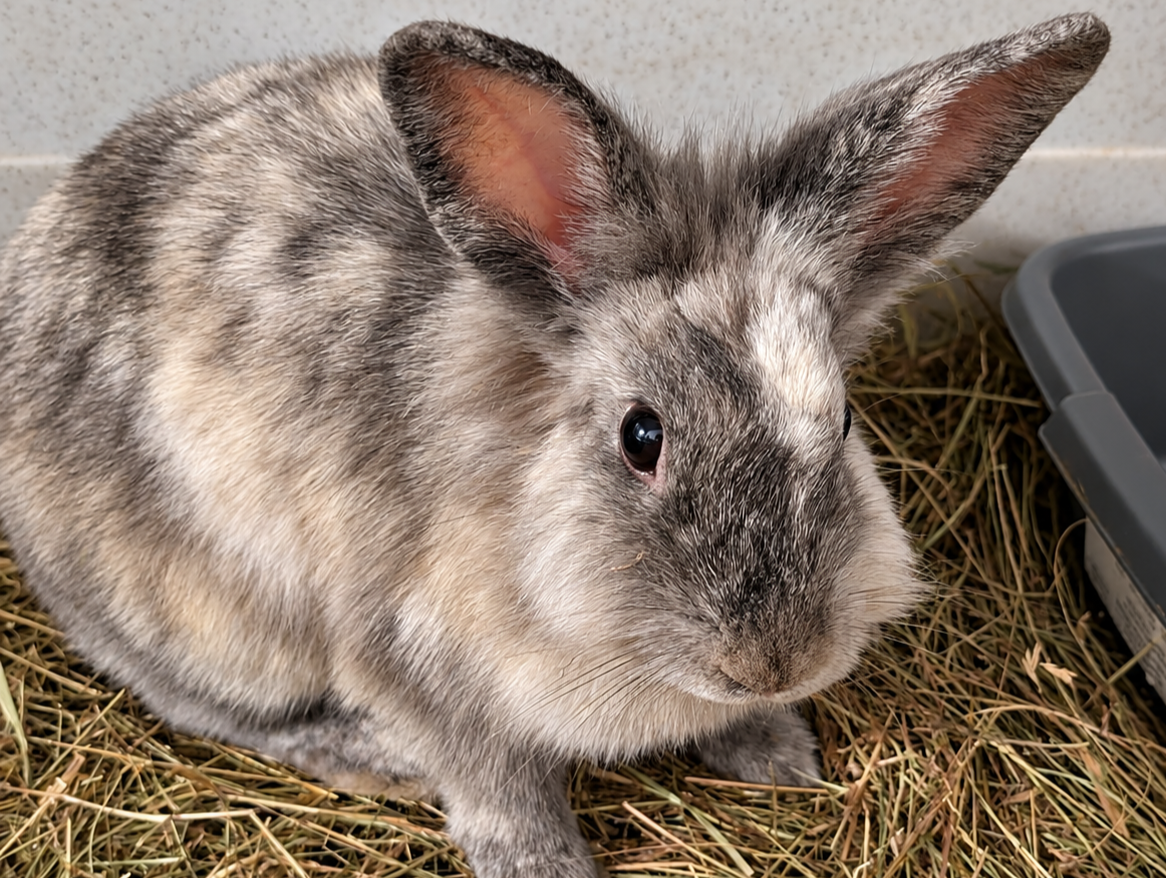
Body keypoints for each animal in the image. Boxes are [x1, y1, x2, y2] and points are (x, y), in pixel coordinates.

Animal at [0, 13, 1108, 878]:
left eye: (840, 420)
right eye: (640, 435)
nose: (771, 661)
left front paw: (778, 752)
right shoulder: (419, 668)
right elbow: (500, 785)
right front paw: (542, 861)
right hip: (214, 612)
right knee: (201, 701)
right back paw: (363, 754)